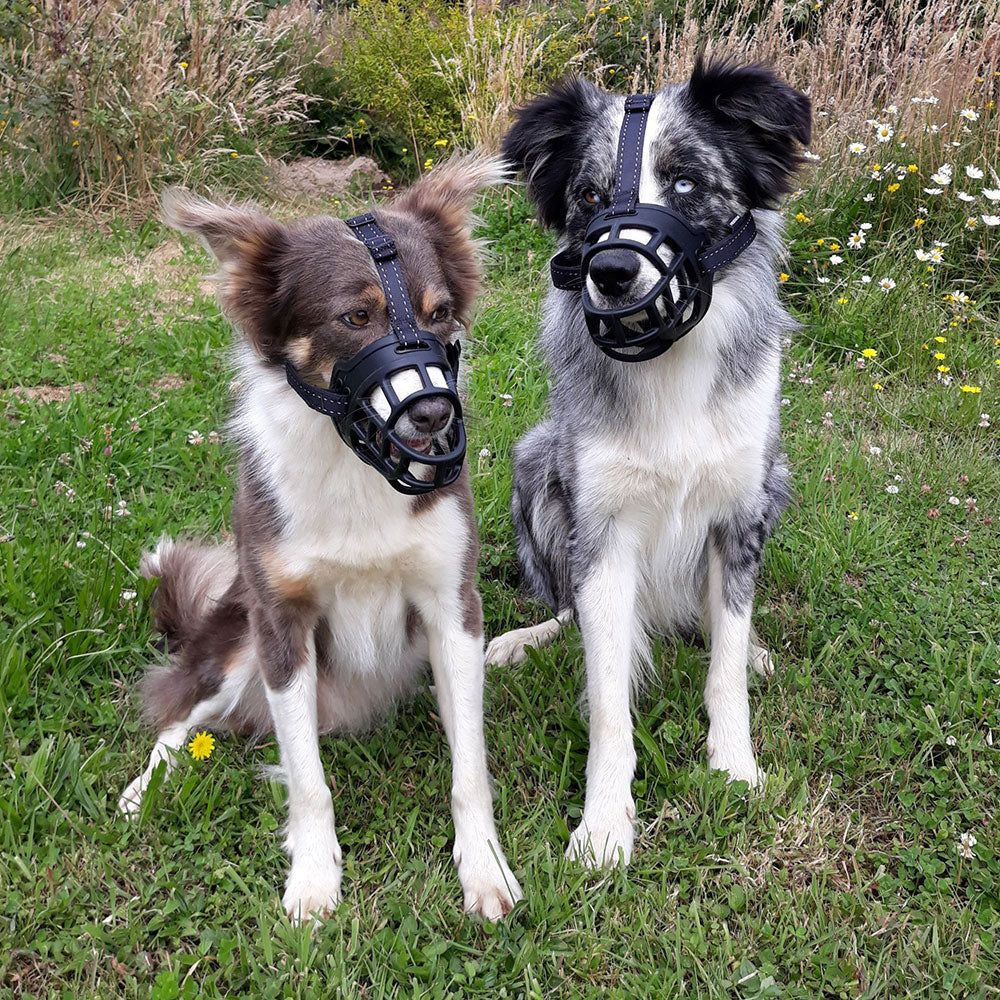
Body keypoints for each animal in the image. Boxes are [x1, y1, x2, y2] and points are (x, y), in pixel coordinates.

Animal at [118, 158, 524, 920]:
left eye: (439, 313)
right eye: (355, 317)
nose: (434, 414)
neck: (357, 465)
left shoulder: (454, 612)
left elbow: (471, 770)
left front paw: (484, 867)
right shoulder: (280, 625)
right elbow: (307, 781)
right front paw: (312, 878)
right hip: (237, 642)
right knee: (177, 716)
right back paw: (139, 791)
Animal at [492, 58, 812, 868]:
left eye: (687, 182)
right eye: (589, 196)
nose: (610, 269)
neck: (666, 358)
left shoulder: (738, 514)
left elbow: (723, 668)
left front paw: (735, 767)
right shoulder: (605, 533)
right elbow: (608, 696)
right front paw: (604, 822)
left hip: (775, 481)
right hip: (535, 463)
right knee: (566, 609)